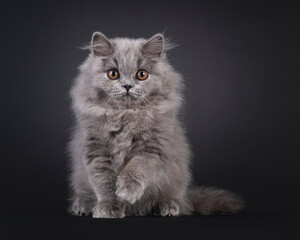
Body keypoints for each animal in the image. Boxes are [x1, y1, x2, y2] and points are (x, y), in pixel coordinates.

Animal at [68, 31, 244, 218]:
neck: (126, 114)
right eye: (113, 74)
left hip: (172, 185)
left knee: (174, 200)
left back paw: (166, 207)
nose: (127, 86)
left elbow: (137, 168)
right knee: (84, 193)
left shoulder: (154, 148)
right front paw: (108, 208)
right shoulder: (96, 149)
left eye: (142, 74)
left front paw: (127, 191)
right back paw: (83, 205)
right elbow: (104, 183)